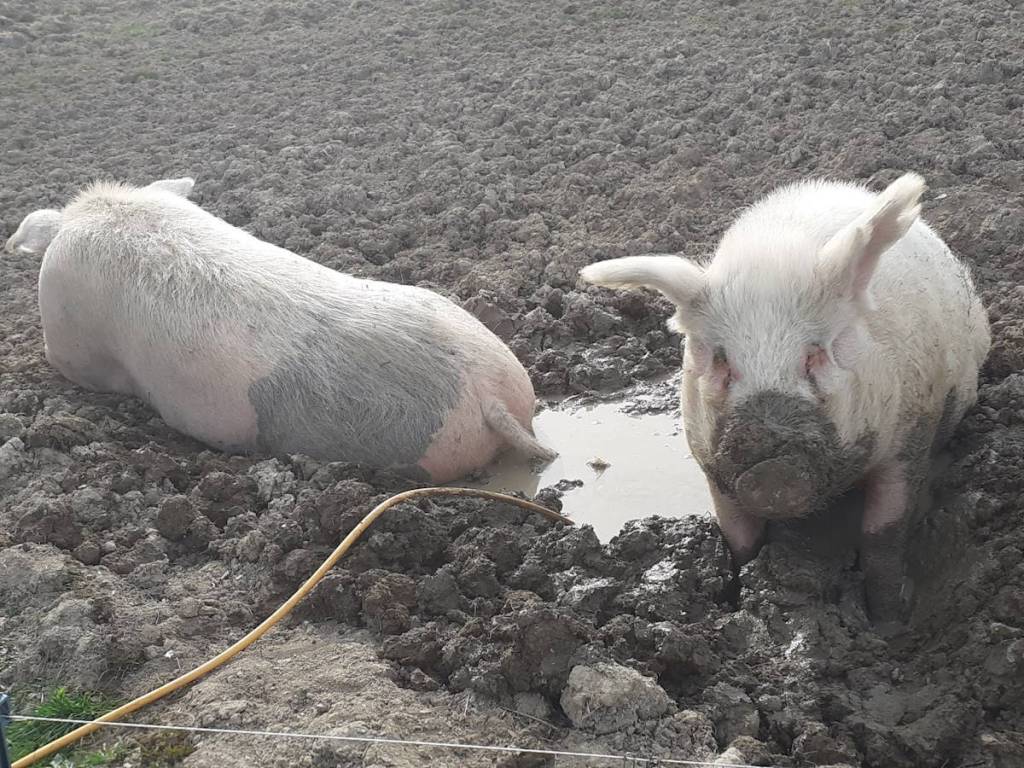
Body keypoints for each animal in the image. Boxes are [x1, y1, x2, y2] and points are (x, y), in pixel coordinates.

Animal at [580, 173, 991, 623]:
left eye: (814, 354)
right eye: (722, 360)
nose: (771, 472)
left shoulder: (912, 431)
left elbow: (883, 535)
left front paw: (889, 622)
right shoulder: (711, 463)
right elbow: (738, 542)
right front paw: (733, 606)